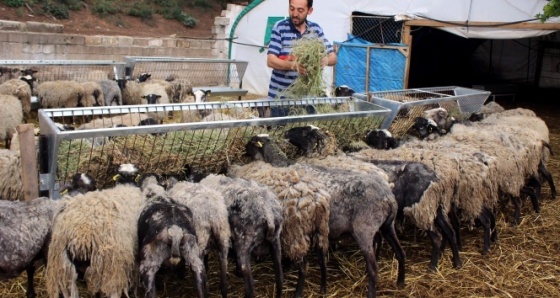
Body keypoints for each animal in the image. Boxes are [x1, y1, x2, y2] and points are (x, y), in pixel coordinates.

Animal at [238, 135, 404, 298]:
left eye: (252, 142)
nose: (243, 149)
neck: (282, 164)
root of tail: (388, 196)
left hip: (364, 230)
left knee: (373, 267)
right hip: (387, 225)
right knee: (399, 251)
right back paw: (400, 282)